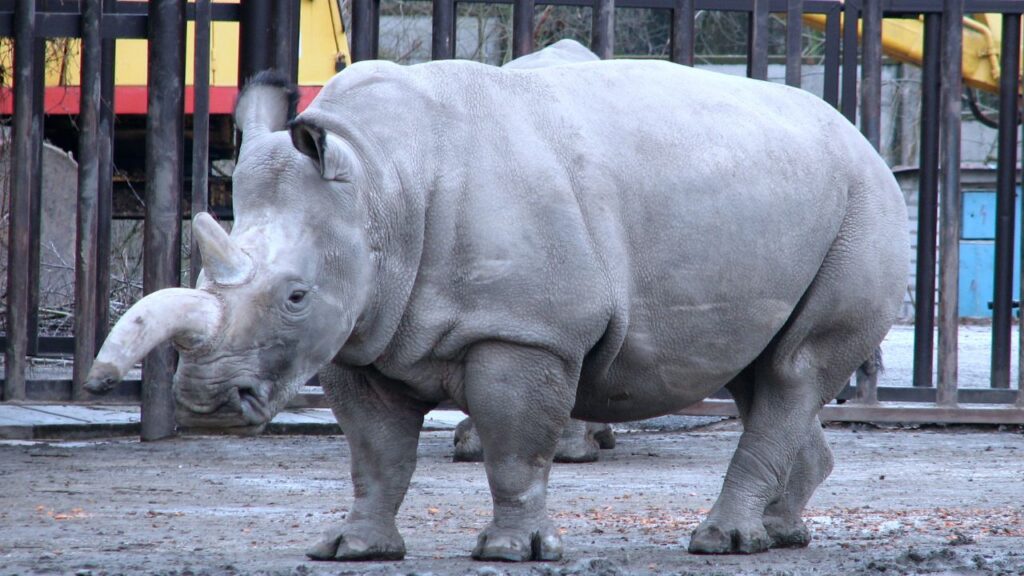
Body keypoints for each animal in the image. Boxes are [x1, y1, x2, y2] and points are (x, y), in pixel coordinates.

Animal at [86, 45, 908, 561]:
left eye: (294, 296)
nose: (207, 403)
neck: (379, 185)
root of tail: (863, 136)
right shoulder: (361, 335)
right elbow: (374, 454)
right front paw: (354, 550)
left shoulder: (526, 332)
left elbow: (516, 444)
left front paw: (513, 552)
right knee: (760, 374)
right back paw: (780, 535)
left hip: (865, 203)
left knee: (793, 372)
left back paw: (721, 543)